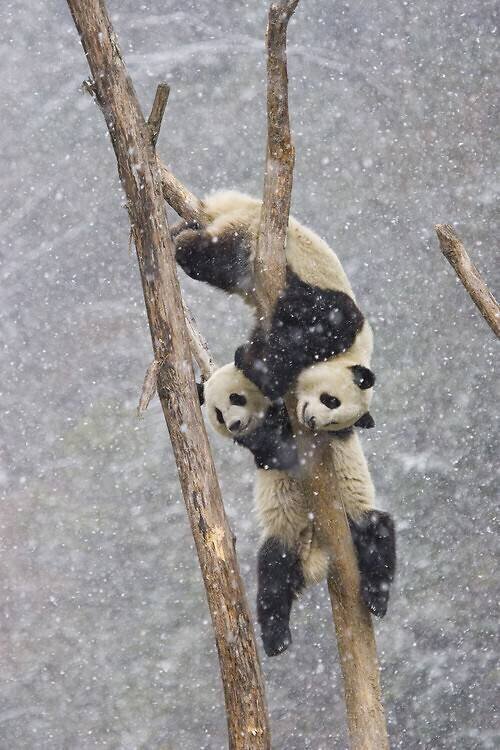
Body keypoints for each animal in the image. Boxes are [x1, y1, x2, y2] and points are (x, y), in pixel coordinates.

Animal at [174, 190, 376, 427]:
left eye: (333, 423)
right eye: (331, 401)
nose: (312, 421)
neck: (352, 353)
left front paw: (249, 360)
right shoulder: (333, 317)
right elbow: (299, 331)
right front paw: (257, 367)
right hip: (247, 237)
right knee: (212, 256)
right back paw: (181, 240)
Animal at [199, 363, 396, 657]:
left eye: (236, 398)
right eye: (218, 415)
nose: (235, 425)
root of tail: (315, 557)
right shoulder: (263, 447)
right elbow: (274, 450)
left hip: (355, 517)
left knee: (378, 531)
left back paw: (376, 599)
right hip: (287, 537)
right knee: (272, 576)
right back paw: (276, 640)